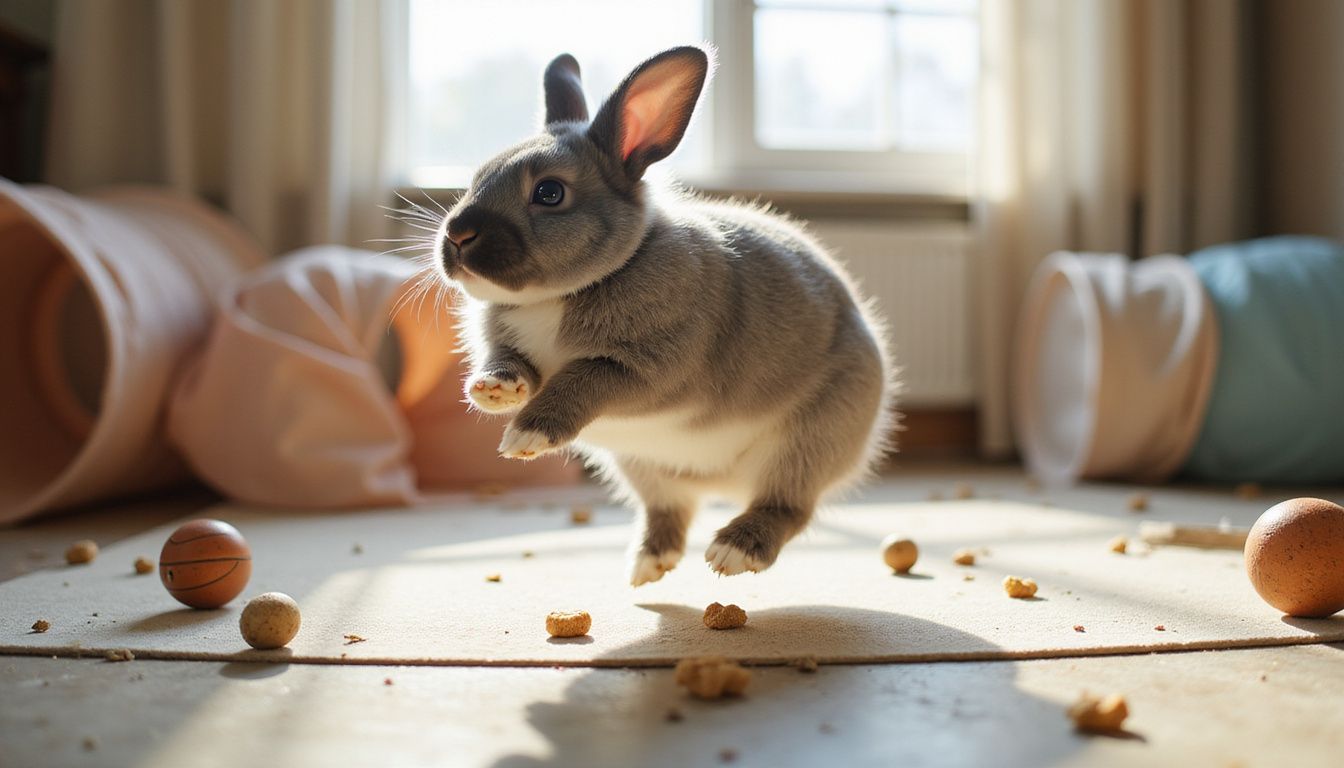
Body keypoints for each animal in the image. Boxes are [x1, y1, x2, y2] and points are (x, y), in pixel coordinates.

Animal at [434, 45, 897, 586]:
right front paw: (493, 391)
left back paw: (733, 551)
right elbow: (509, 363)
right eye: (476, 178)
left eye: (549, 193)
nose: (457, 234)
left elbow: (581, 381)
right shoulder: (506, 346)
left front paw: (527, 434)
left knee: (787, 507)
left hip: (805, 444)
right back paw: (648, 566)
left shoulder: (647, 369)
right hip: (644, 469)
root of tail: (722, 483)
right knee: (670, 511)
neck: (560, 294)